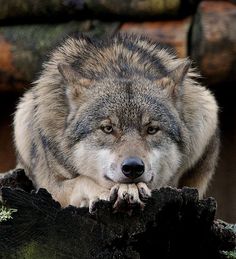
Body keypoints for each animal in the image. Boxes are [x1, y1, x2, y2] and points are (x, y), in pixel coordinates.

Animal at [13, 34, 219, 213]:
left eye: (152, 130)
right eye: (107, 129)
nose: (133, 167)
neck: (119, 66)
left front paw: (129, 190)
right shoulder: (50, 187)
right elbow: (83, 180)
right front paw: (109, 192)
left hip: (207, 107)